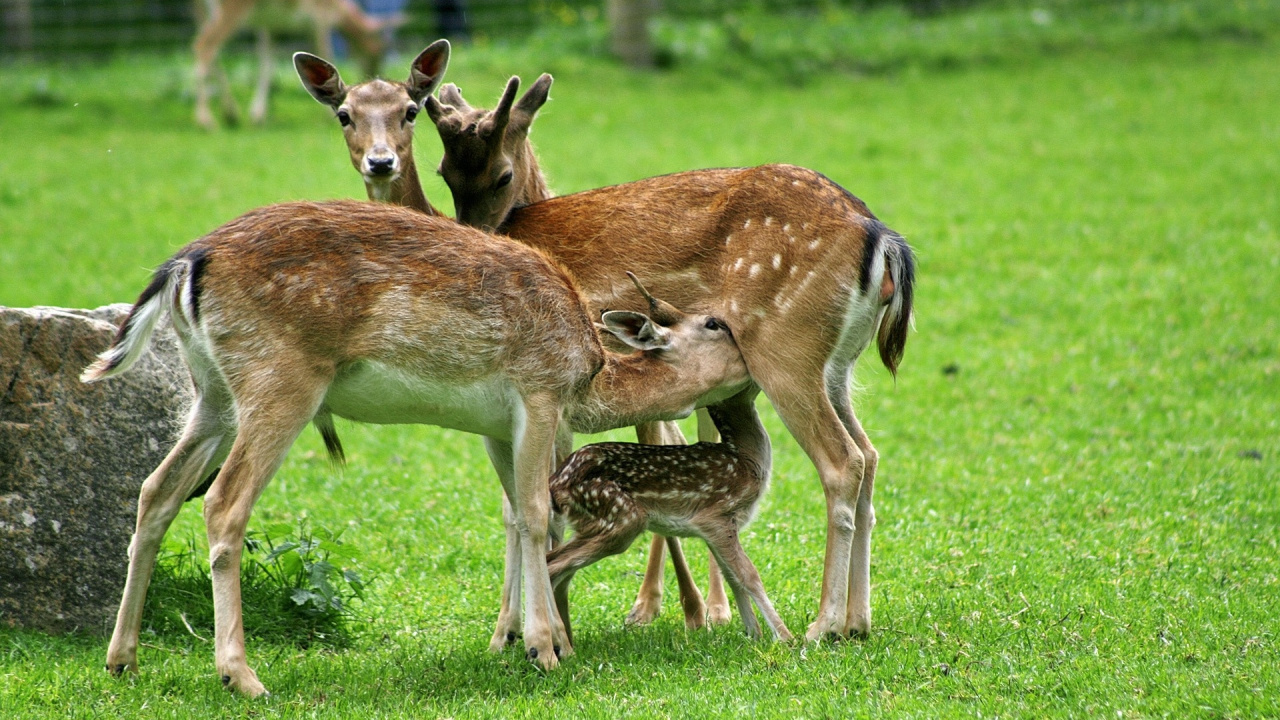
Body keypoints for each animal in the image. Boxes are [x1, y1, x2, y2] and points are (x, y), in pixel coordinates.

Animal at [81, 200, 752, 695]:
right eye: (716, 324)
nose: (756, 367)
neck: (588, 375)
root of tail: (184, 266)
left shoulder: (499, 424)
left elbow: (518, 515)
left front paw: (529, 641)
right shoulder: (537, 391)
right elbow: (538, 514)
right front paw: (545, 649)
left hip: (212, 393)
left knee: (156, 489)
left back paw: (123, 660)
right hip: (280, 379)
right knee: (223, 502)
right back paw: (241, 677)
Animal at [194, 0, 400, 129]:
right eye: (378, 52)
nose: (374, 74)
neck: (339, 10)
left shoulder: (271, 26)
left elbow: (266, 62)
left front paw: (258, 115)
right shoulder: (320, 19)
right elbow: (325, 53)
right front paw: (329, 115)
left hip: (206, 11)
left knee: (209, 50)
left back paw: (230, 114)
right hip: (231, 8)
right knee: (204, 45)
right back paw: (206, 120)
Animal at [293, 46, 729, 641]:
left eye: (409, 110)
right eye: (344, 114)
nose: (380, 162)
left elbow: (546, 505)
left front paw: (550, 627)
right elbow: (512, 507)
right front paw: (508, 629)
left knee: (683, 442)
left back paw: (704, 607)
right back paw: (655, 604)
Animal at [547, 386, 793, 645]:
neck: (746, 460)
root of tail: (556, 484)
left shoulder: (717, 529)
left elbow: (732, 576)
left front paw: (754, 634)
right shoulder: (715, 515)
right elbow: (749, 575)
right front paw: (786, 638)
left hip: (594, 525)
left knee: (557, 566)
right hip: (621, 518)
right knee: (553, 568)